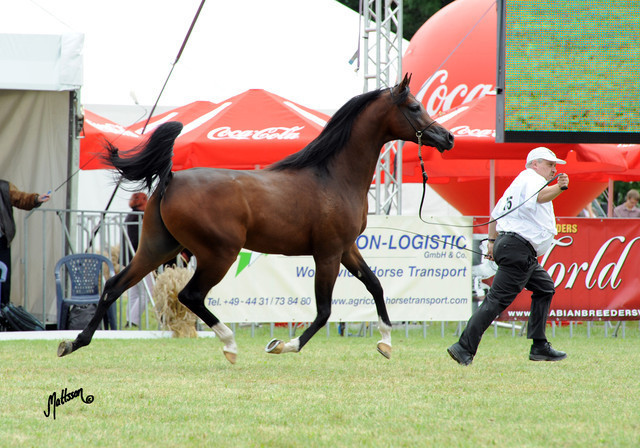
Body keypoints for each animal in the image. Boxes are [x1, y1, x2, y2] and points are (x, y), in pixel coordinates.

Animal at [58, 74, 454, 363]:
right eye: (415, 106)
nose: (447, 137)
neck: (333, 176)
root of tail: (171, 178)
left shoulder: (347, 249)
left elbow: (376, 285)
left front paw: (385, 342)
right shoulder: (327, 254)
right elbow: (324, 311)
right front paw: (283, 345)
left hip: (157, 248)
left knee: (114, 286)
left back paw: (74, 343)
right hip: (217, 254)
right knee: (190, 295)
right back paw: (230, 344)